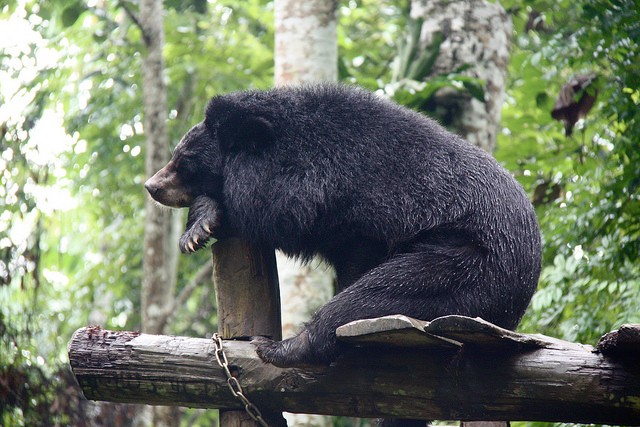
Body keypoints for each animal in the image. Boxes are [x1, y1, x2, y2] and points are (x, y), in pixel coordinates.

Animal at [145, 83, 540, 368]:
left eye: (183, 163)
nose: (151, 186)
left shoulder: (346, 202)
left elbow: (277, 217)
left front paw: (202, 222)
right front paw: (197, 231)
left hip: (469, 269)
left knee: (371, 298)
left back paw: (281, 348)